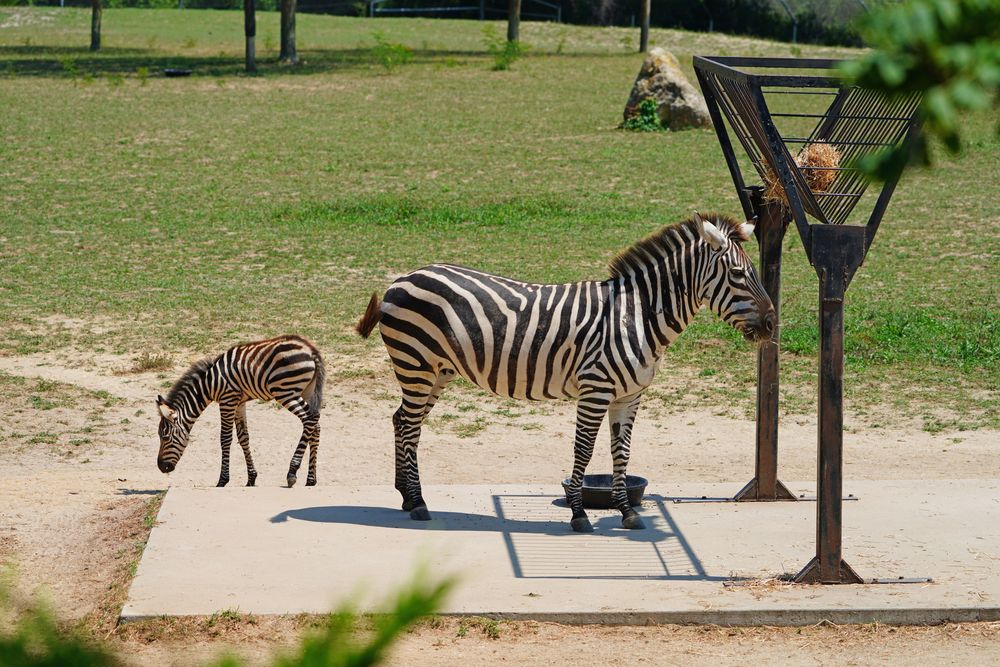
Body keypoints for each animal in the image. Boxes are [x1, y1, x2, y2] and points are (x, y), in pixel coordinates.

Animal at [155, 335, 326, 488]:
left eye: (165, 437)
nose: (161, 467)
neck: (209, 384)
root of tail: (310, 350)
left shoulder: (227, 399)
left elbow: (225, 438)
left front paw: (222, 480)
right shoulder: (239, 403)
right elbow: (244, 437)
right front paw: (251, 478)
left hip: (285, 391)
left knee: (309, 418)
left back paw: (292, 472)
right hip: (305, 390)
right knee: (315, 425)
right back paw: (311, 479)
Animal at [356, 212, 776, 533]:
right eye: (738, 275)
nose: (773, 325)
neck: (637, 315)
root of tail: (401, 278)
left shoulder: (630, 395)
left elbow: (621, 452)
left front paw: (627, 512)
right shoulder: (596, 389)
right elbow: (585, 449)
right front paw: (578, 513)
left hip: (437, 371)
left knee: (402, 422)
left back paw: (406, 496)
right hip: (417, 364)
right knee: (409, 425)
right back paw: (418, 502)